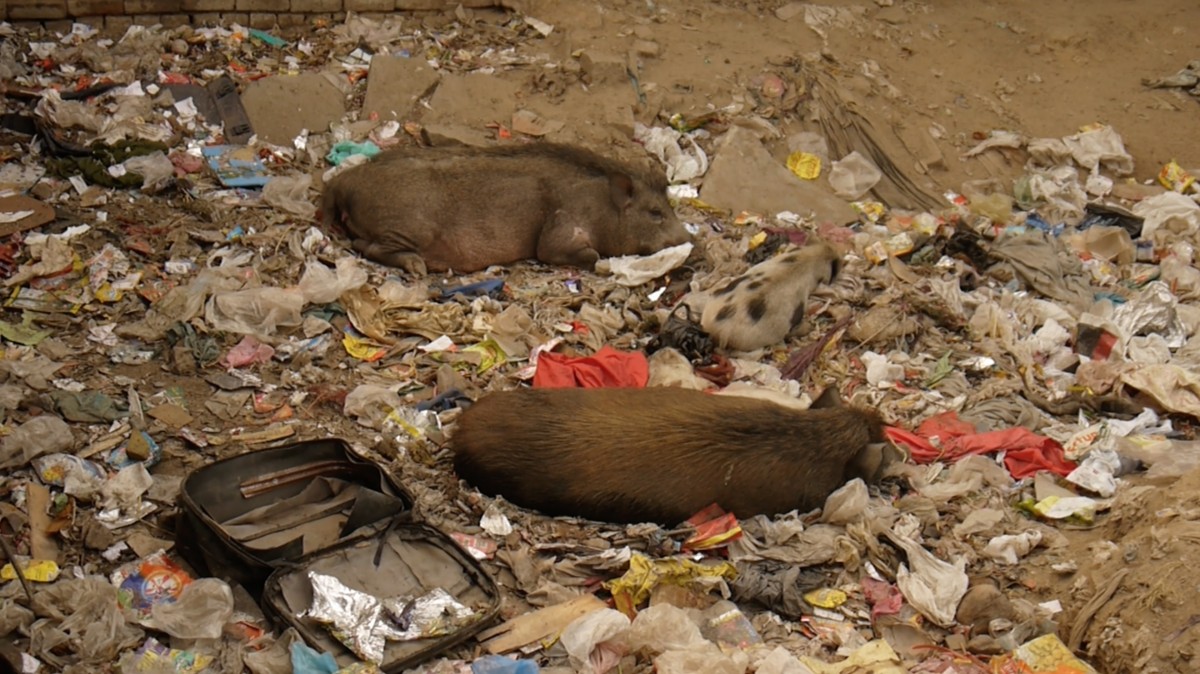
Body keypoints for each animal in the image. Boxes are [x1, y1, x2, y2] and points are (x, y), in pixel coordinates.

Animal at [320, 143, 690, 275]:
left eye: (669, 207)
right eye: (655, 212)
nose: (694, 243)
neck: (601, 208)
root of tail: (343, 182)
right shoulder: (558, 229)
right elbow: (571, 252)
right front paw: (597, 260)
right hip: (410, 226)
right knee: (366, 245)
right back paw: (418, 268)